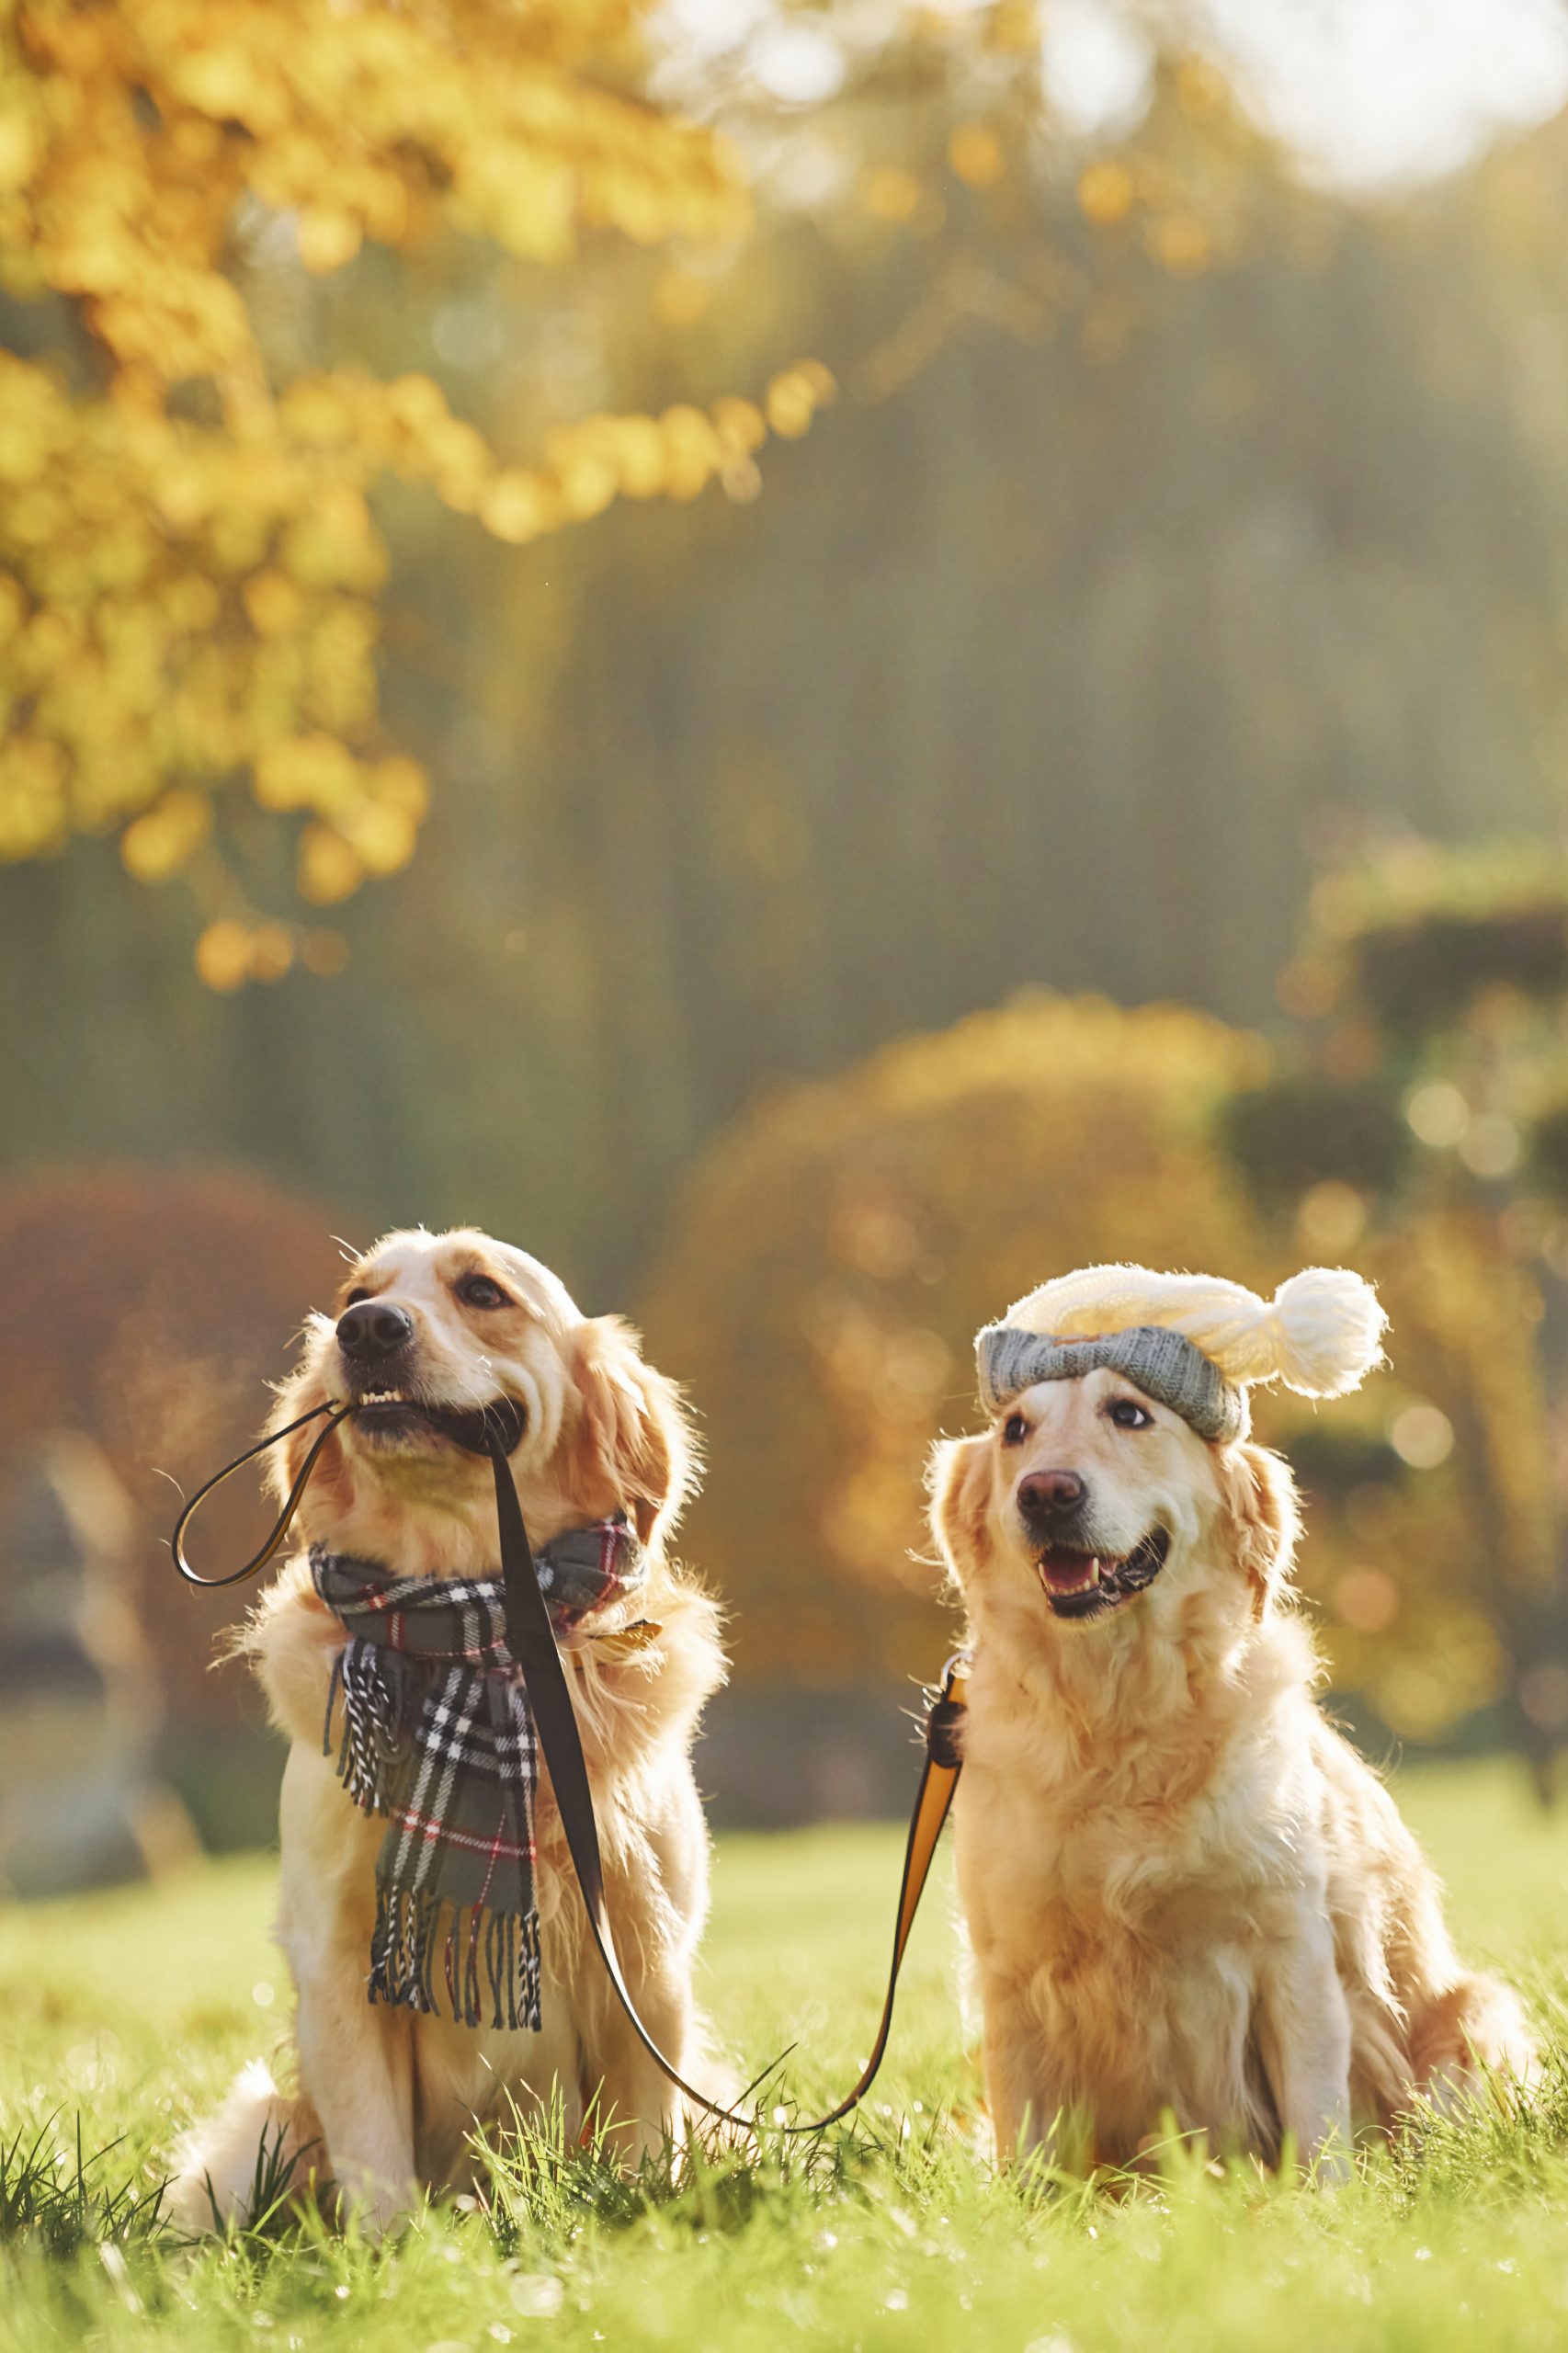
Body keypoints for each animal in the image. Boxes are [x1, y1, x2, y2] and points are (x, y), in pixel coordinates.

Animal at [170, 1223, 724, 2230]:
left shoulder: (645, 1950)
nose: (366, 1331)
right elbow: (376, 2160)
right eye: (355, 1294)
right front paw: (393, 2253)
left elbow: (639, 2146)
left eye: (483, 1291)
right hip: (255, 2140)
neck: (477, 1626)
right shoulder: (337, 1955)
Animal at [927, 1270, 1525, 2165]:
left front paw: (1323, 2199)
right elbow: (1029, 2154)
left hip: (1478, 2016)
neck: (1118, 1714)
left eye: (1130, 1413)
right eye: (1015, 1431)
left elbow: (1317, 2131)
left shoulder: (1294, 1956)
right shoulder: (1013, 1970)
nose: (1046, 1492)